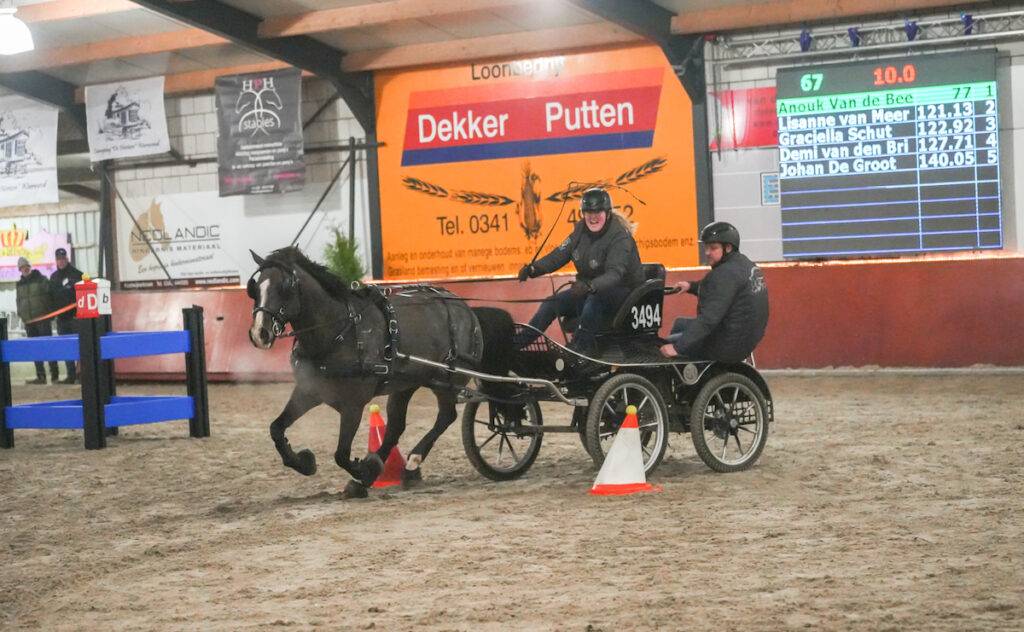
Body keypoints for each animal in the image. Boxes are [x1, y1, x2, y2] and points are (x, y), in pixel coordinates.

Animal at [246, 247, 513, 498]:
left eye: (285, 286)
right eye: (255, 288)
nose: (260, 333)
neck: (338, 332)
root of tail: (467, 310)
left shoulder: (353, 404)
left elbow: (341, 454)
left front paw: (365, 469)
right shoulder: (309, 392)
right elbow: (276, 428)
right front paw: (305, 462)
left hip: (446, 379)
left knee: (446, 416)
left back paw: (411, 460)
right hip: (407, 383)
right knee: (396, 426)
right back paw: (391, 472)